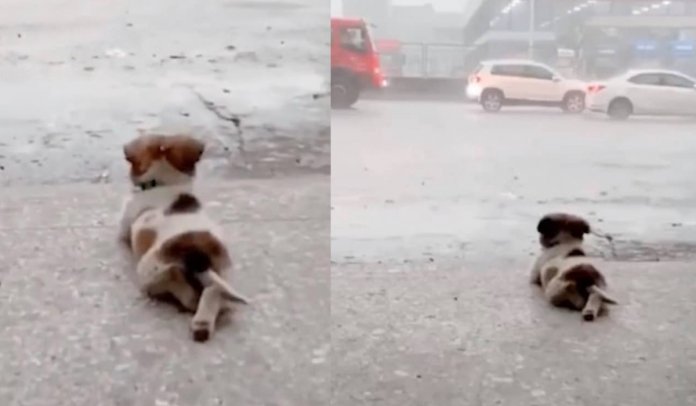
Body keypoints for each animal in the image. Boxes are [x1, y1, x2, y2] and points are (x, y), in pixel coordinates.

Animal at [118, 134, 249, 342]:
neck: (165, 183)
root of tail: (197, 254)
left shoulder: (124, 224)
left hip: (149, 269)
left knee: (178, 285)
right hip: (224, 273)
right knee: (214, 292)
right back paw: (202, 324)